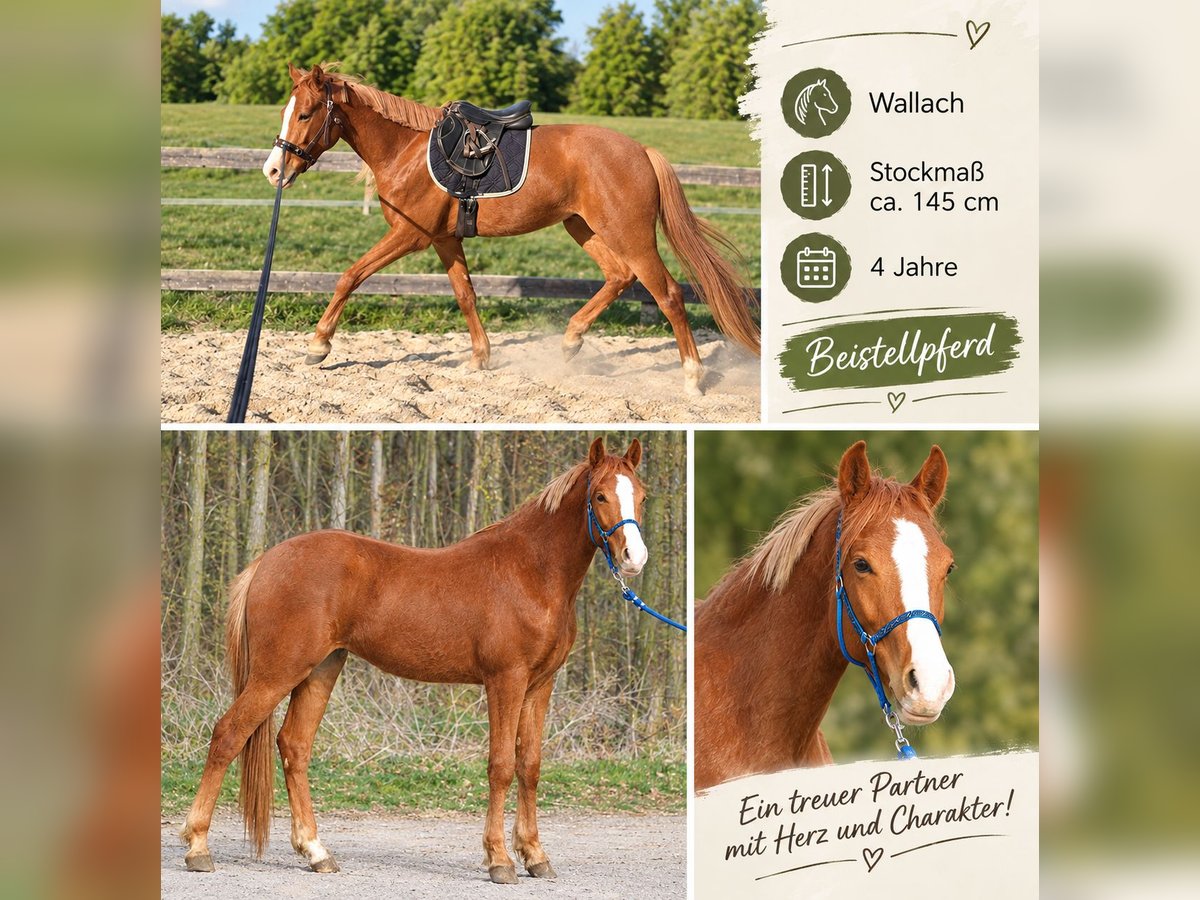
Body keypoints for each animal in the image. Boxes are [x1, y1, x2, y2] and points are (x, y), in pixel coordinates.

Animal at [180, 436, 651, 883]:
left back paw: (316, 852)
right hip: (276, 672)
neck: (531, 572)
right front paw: (500, 861)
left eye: (642, 496)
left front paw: (535, 856)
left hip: (321, 669)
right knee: (227, 736)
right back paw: (198, 847)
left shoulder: (540, 685)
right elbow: (501, 766)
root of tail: (266, 562)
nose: (635, 558)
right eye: (600, 496)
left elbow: (529, 766)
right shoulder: (506, 681)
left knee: (294, 746)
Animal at [258, 63, 759, 397]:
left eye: (305, 114)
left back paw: (693, 376)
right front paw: (480, 358)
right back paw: (571, 341)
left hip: (629, 235)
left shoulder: (410, 236)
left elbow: (350, 276)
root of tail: (641, 151)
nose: (273, 170)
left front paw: (318, 346)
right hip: (584, 228)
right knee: (620, 276)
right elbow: (465, 294)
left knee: (668, 294)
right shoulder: (445, 240)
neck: (406, 151)